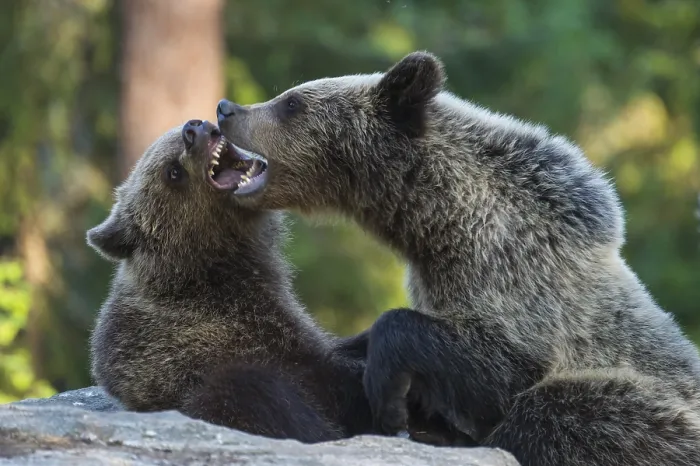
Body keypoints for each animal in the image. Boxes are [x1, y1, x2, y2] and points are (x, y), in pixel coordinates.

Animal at [215, 51, 700, 465]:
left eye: (291, 102)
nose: (226, 108)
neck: (442, 226)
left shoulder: (521, 288)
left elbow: (490, 369)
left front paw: (389, 396)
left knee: (557, 415)